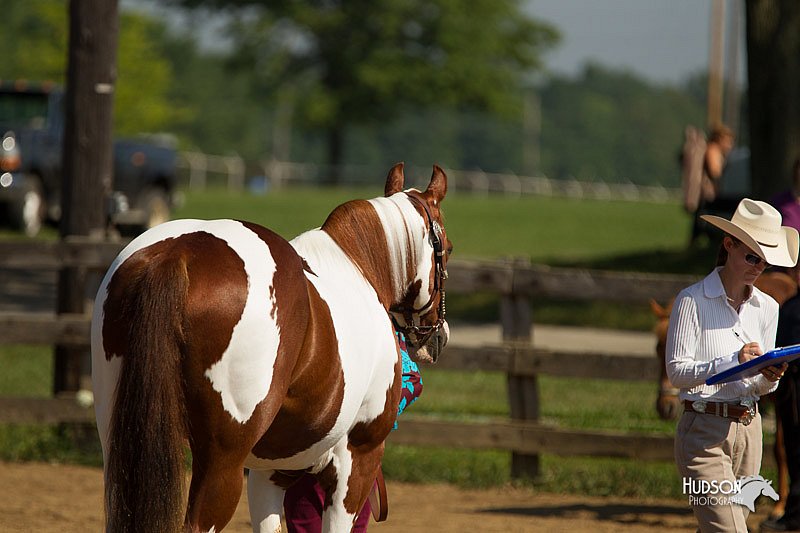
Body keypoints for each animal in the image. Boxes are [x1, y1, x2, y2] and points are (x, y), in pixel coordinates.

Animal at [91, 164, 454, 528]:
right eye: (448, 248)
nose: (439, 336)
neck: (360, 269)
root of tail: (179, 253)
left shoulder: (272, 471)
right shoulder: (357, 460)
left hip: (120, 446)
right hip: (221, 462)